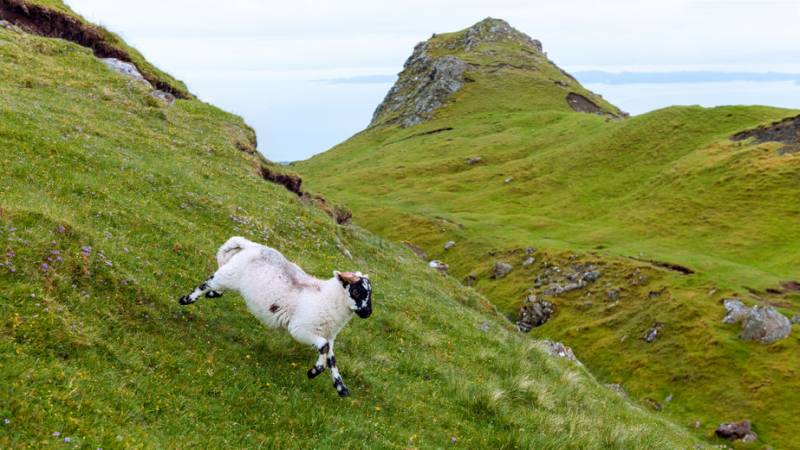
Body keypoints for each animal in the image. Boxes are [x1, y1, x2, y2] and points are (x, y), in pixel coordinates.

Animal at [178, 237, 372, 396]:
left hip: (231, 279)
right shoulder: (300, 330)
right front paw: (314, 372)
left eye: (370, 293)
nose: (367, 313)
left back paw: (211, 295)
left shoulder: (329, 336)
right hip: (228, 275)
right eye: (356, 291)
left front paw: (341, 388)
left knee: (215, 289)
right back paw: (187, 299)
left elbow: (331, 359)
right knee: (208, 282)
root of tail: (252, 245)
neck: (326, 299)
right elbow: (323, 349)